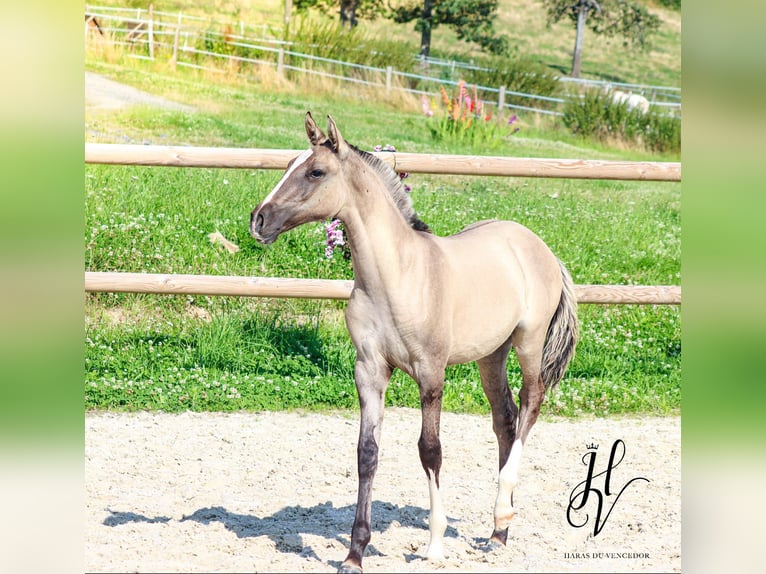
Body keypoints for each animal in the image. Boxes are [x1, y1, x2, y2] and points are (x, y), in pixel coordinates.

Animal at [249, 113, 580, 574]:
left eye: (316, 172)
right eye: (286, 165)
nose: (259, 220)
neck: (397, 276)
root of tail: (539, 247)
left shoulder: (431, 372)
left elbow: (430, 450)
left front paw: (435, 544)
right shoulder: (369, 370)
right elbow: (367, 453)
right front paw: (354, 554)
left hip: (529, 343)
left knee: (531, 405)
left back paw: (503, 511)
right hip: (490, 355)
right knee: (506, 420)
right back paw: (498, 533)